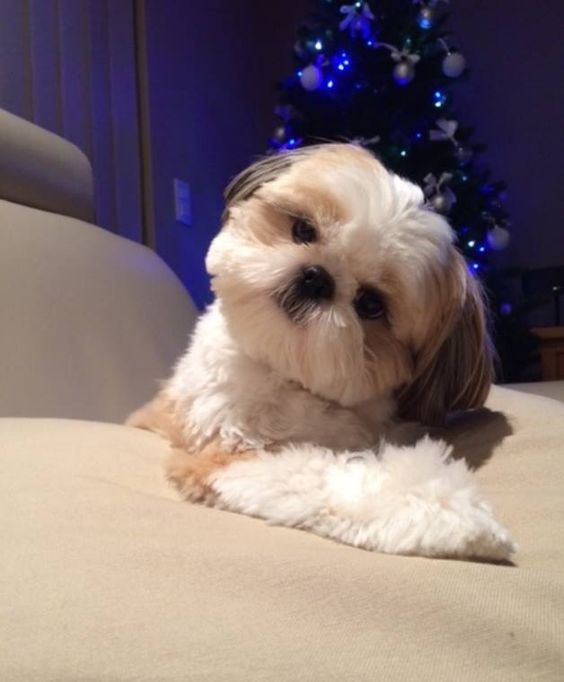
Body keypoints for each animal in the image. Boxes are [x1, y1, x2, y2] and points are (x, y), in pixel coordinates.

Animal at [128, 142, 516, 556]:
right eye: (303, 229)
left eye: (371, 305)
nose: (316, 277)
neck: (288, 377)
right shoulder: (226, 453)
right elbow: (323, 478)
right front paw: (451, 516)